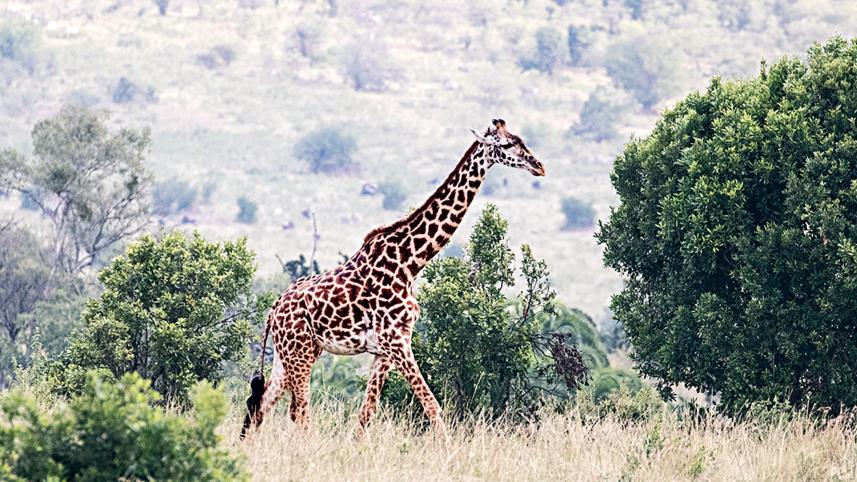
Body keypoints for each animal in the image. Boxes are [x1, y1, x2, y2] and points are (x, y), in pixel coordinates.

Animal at [241, 119, 545, 439]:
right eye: (507, 144)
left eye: (521, 139)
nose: (539, 166)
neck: (410, 263)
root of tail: (274, 310)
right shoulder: (397, 341)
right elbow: (431, 404)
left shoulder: (385, 350)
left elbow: (366, 412)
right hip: (299, 352)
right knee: (299, 411)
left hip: (292, 353)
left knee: (262, 404)